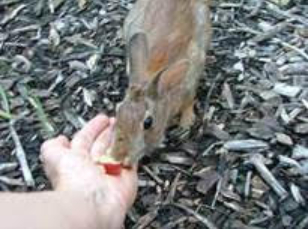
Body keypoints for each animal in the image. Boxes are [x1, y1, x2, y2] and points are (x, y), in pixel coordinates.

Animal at [107, 0, 211, 166]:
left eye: (148, 123)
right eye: (118, 110)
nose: (118, 156)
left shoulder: (191, 81)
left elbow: (189, 101)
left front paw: (185, 123)